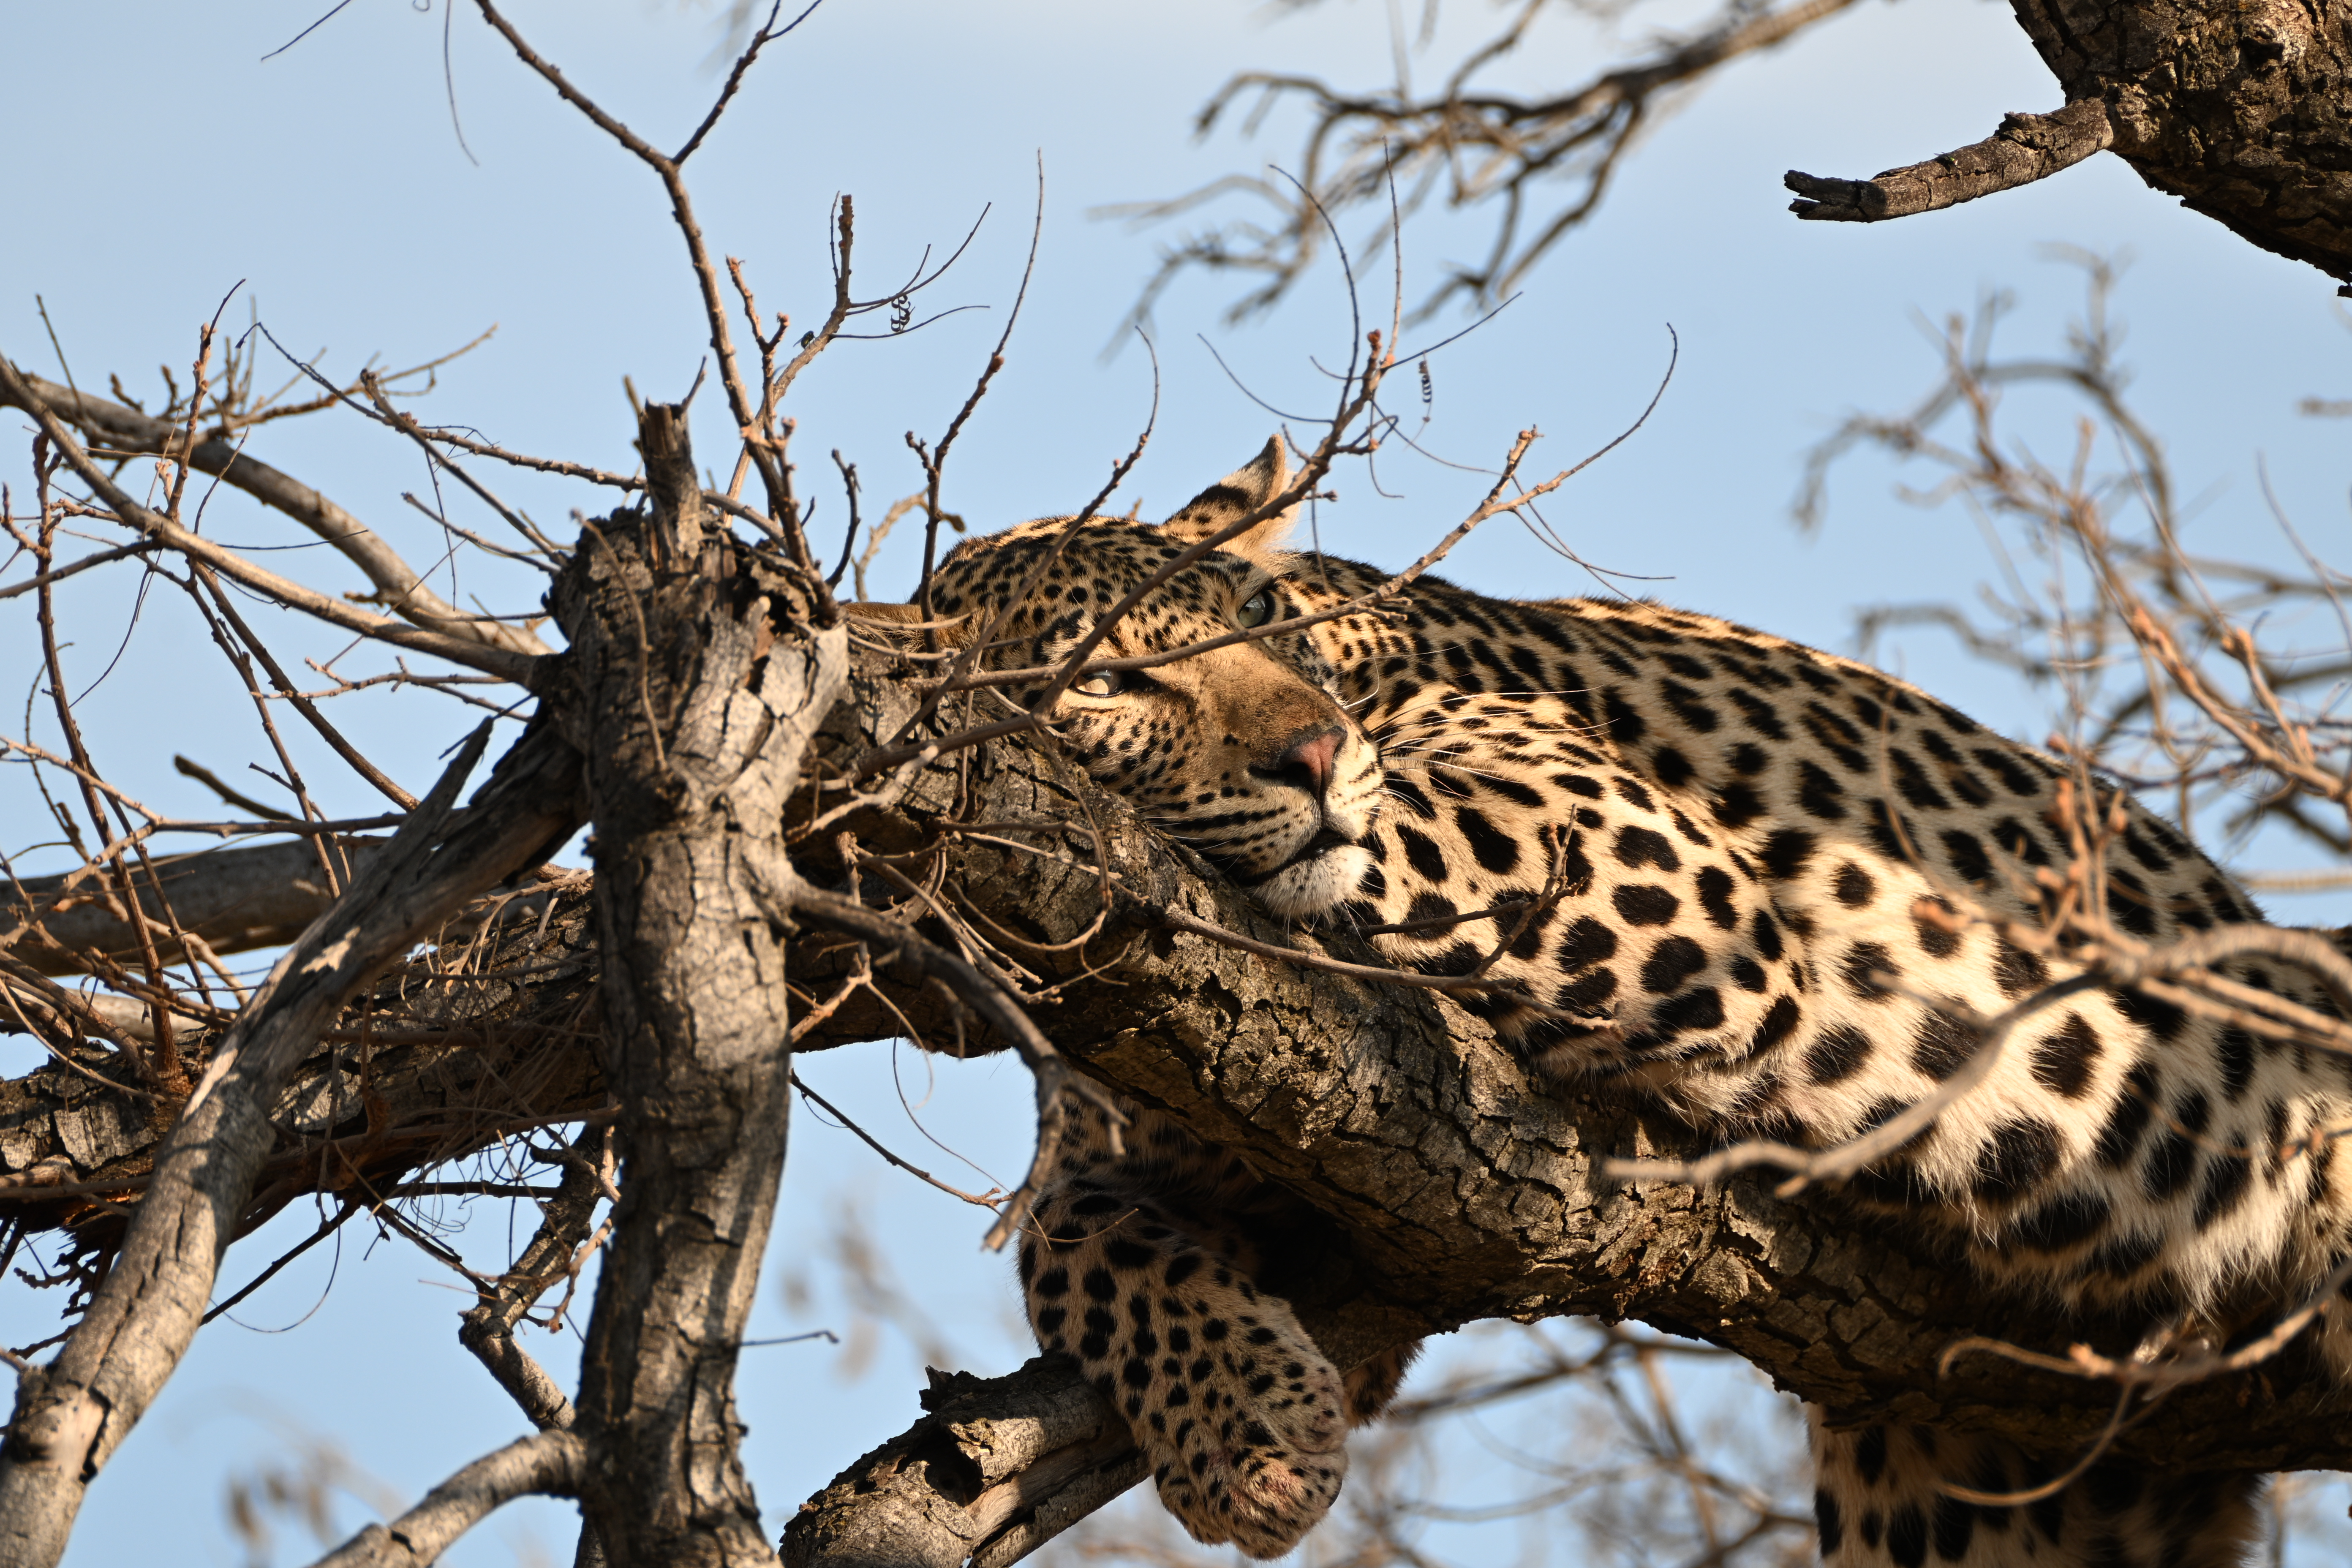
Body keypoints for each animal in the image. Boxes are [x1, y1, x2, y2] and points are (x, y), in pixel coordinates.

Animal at [867, 437, 2352, 1566]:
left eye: (1277, 638)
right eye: (1107, 680)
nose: (1318, 753)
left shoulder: (1639, 857)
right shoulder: (1142, 1125)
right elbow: (1074, 1244)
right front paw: (1252, 1428)